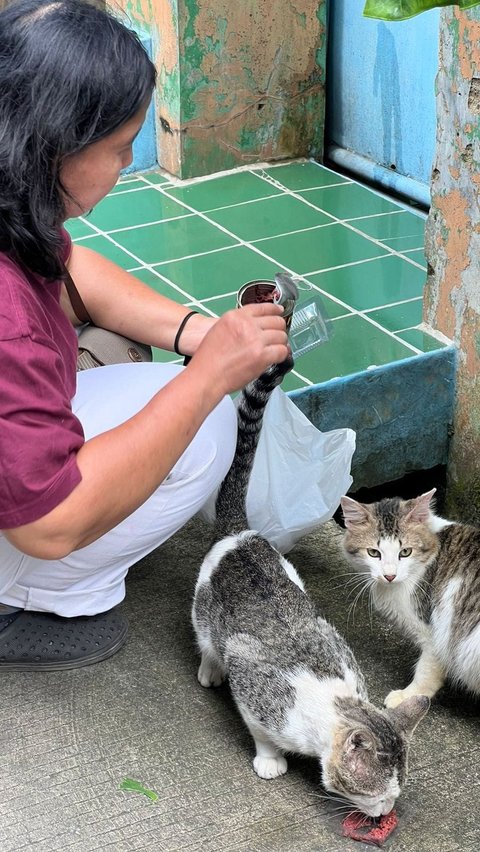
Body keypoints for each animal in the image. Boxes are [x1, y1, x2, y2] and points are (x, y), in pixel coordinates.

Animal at [191, 358, 428, 820]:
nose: (386, 812)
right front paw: (270, 760)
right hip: (203, 611)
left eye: (397, 792)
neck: (330, 700)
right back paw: (210, 670)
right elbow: (260, 730)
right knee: (207, 640)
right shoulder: (254, 690)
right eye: (377, 793)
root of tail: (240, 533)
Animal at [340, 490, 480, 708]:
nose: (389, 575)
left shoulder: (435, 633)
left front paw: (408, 697)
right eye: (373, 553)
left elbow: (426, 671)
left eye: (405, 552)